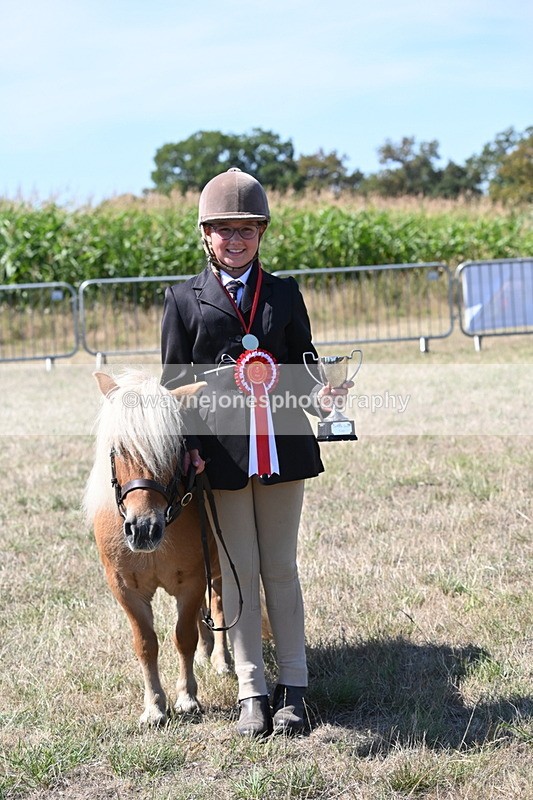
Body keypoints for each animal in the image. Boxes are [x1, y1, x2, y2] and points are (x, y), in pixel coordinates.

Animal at [84, 369, 232, 727]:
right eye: (118, 448)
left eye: (173, 448)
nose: (143, 529)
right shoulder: (125, 589)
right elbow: (146, 643)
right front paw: (154, 706)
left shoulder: (192, 581)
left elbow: (182, 637)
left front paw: (187, 698)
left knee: (219, 605)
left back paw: (221, 659)